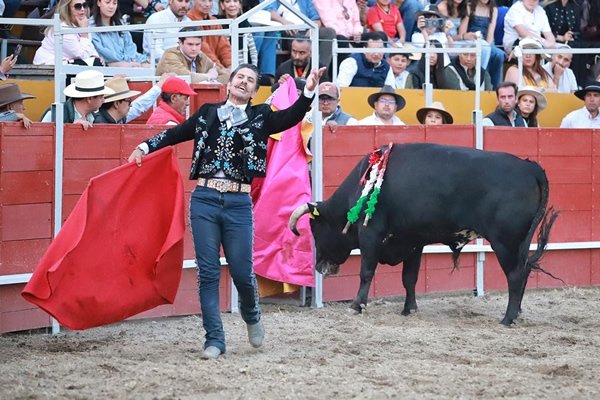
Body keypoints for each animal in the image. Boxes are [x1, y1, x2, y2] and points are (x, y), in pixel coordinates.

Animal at [289, 143, 559, 326]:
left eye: (316, 230)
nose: (319, 266)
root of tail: (529, 166)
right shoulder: (413, 241)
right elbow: (409, 278)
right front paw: (409, 309)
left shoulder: (370, 235)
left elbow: (366, 272)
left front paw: (356, 306)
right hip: (519, 243)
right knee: (524, 271)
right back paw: (517, 313)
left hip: (504, 242)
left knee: (515, 275)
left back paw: (508, 318)